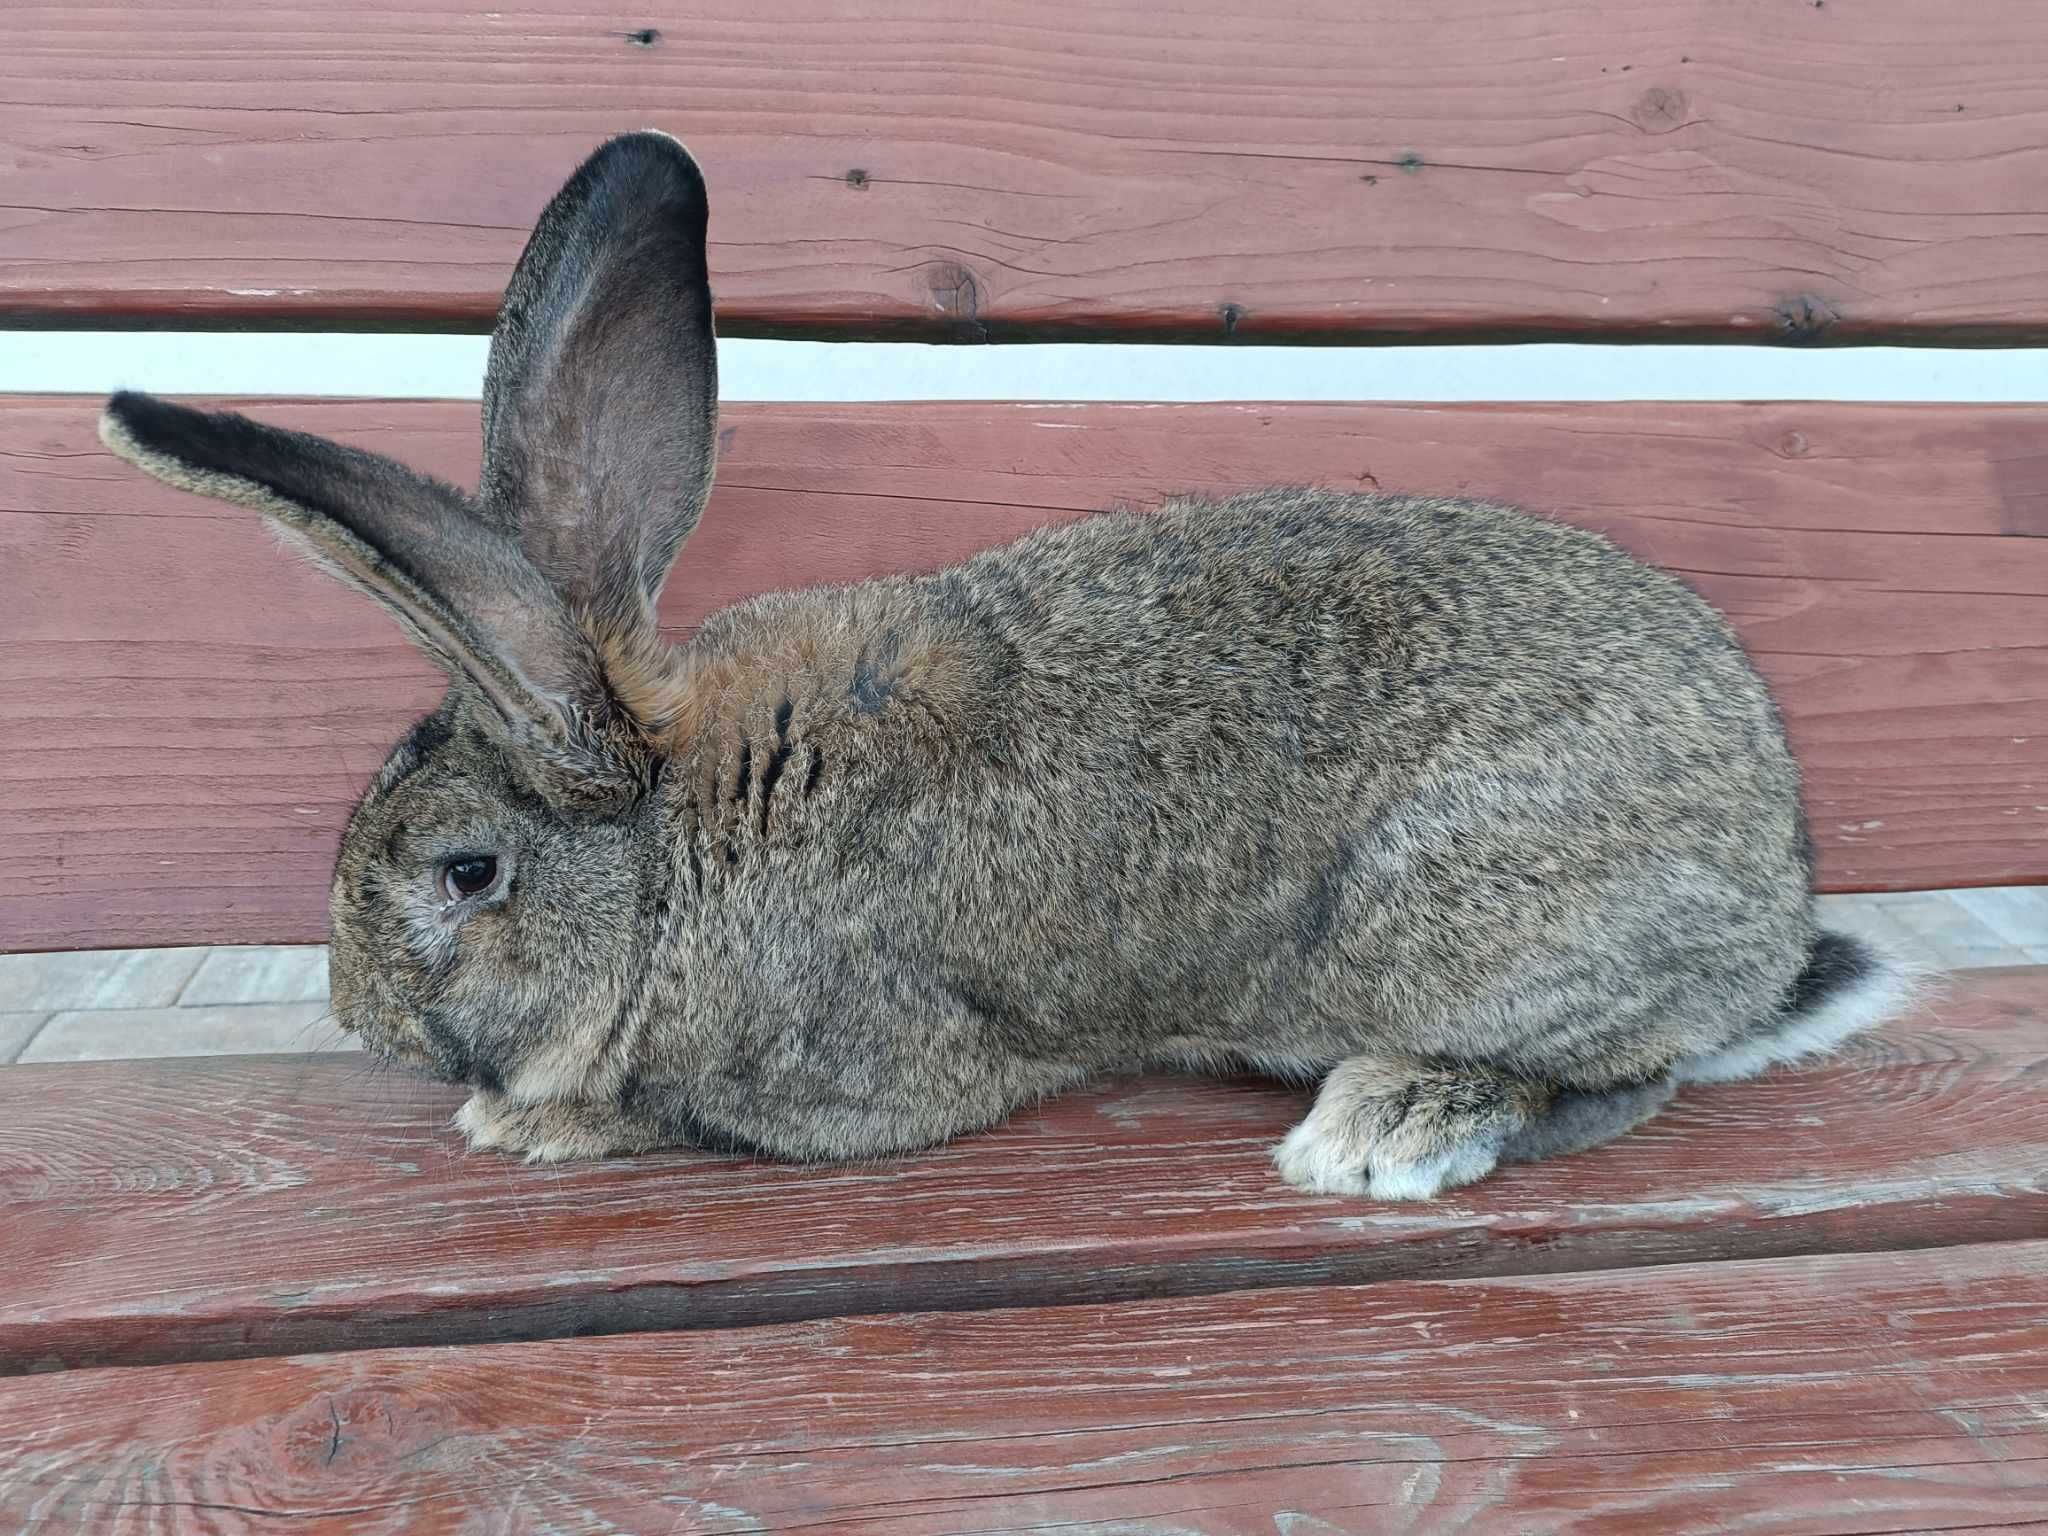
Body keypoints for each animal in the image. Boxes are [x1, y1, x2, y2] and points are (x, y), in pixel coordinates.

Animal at [96, 132, 1916, 1204]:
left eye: (465, 873)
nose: (358, 1019)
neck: (673, 834)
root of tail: (1771, 895)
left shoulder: (860, 1076)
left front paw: (534, 1121)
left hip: (1469, 924)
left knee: (1627, 1072)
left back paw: (1388, 1127)